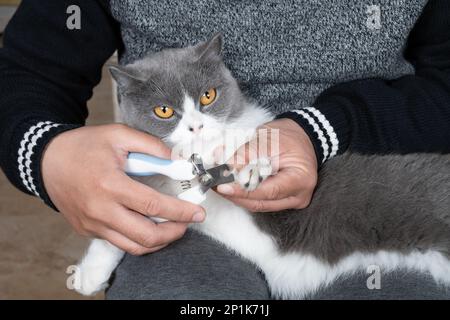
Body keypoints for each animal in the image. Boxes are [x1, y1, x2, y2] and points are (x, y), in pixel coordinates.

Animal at [74, 33, 450, 298]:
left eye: (208, 96)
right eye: (164, 111)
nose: (196, 125)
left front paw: (253, 169)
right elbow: (128, 219)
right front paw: (90, 272)